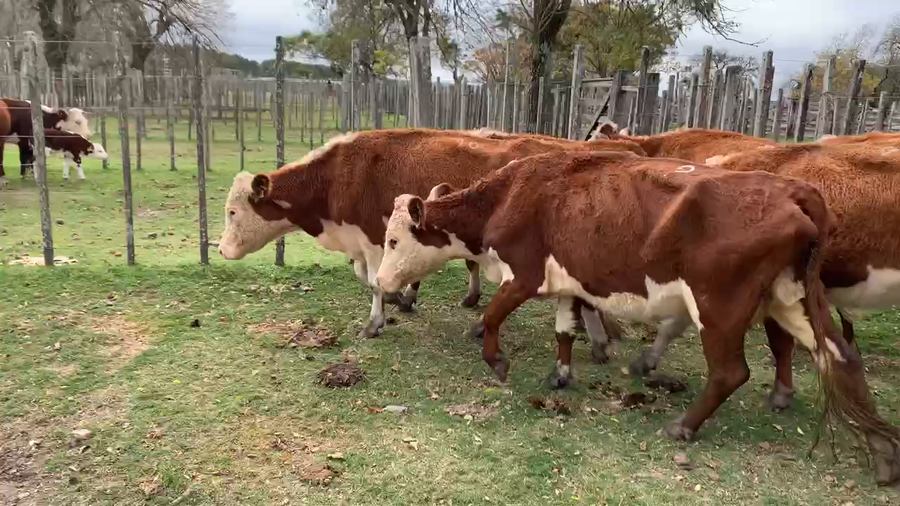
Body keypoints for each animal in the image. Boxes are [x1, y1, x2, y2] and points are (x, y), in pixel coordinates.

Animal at [217, 128, 645, 342]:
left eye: (232, 212)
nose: (220, 250)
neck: (339, 174)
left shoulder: (375, 238)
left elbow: (374, 281)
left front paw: (377, 321)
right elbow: (372, 277)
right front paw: (400, 299)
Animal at [374, 150, 900, 486]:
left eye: (394, 240)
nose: (380, 281)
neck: (511, 195)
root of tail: (794, 190)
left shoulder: (523, 275)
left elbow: (495, 313)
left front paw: (497, 361)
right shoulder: (567, 283)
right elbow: (564, 332)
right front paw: (561, 374)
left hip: (719, 306)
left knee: (731, 372)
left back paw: (683, 425)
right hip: (793, 299)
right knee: (841, 360)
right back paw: (882, 453)